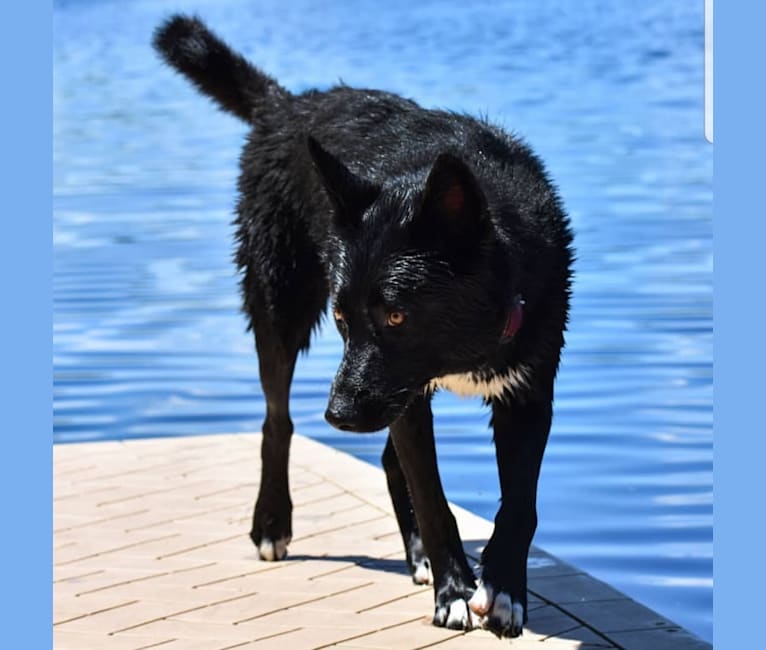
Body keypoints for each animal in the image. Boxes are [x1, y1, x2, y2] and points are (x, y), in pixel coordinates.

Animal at [156, 16, 572, 636]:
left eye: (397, 315)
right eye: (342, 317)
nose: (338, 416)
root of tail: (287, 105)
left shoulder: (528, 388)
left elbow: (520, 501)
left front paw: (502, 589)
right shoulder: (400, 393)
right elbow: (433, 496)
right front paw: (453, 591)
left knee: (383, 457)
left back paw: (417, 556)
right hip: (280, 311)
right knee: (276, 421)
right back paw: (273, 523)